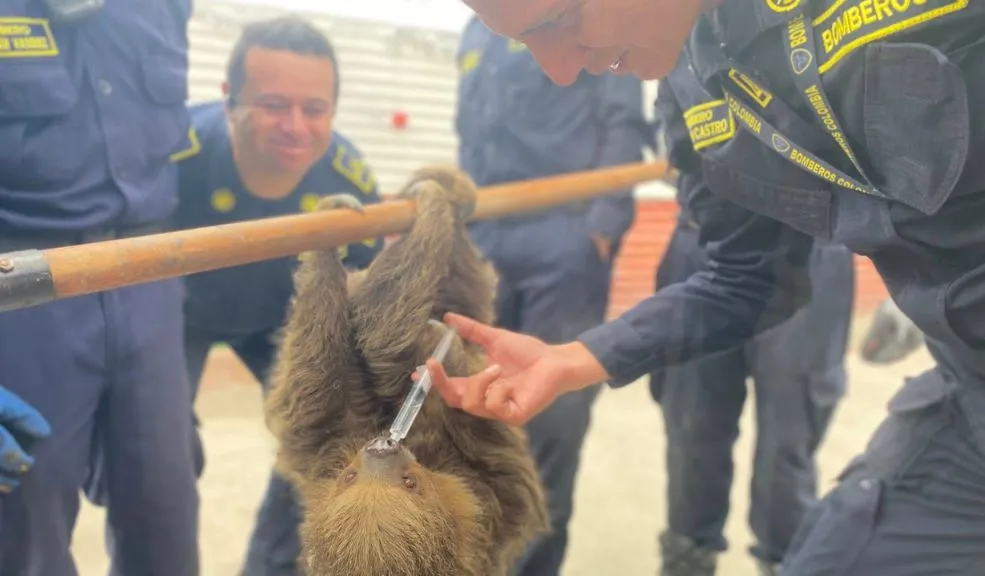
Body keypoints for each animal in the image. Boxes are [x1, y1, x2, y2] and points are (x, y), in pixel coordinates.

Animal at [263, 165, 551, 576]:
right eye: (351, 477)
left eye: (409, 482)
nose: (382, 449)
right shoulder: (488, 487)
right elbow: (327, 379)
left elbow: (317, 387)